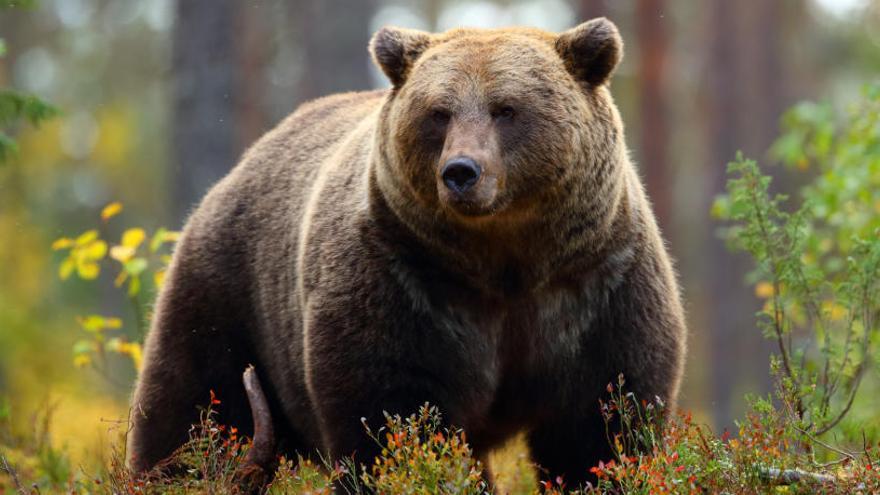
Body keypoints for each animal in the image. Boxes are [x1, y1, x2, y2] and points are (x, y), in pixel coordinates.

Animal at [127, 16, 688, 488]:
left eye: (506, 109)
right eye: (439, 113)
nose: (461, 171)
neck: (507, 262)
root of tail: (241, 165)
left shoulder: (596, 285)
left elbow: (602, 424)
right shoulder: (402, 282)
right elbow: (392, 415)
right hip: (229, 293)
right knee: (192, 411)